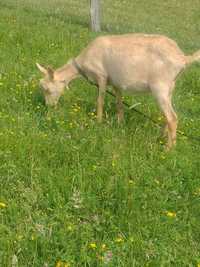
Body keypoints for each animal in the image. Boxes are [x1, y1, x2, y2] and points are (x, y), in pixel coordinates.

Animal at [36, 33, 200, 150]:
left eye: (47, 89)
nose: (49, 107)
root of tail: (182, 58)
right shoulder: (116, 83)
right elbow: (119, 104)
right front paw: (120, 123)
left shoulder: (101, 76)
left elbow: (100, 100)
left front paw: (98, 122)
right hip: (170, 87)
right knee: (167, 115)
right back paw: (161, 138)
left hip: (160, 87)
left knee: (172, 118)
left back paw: (168, 149)